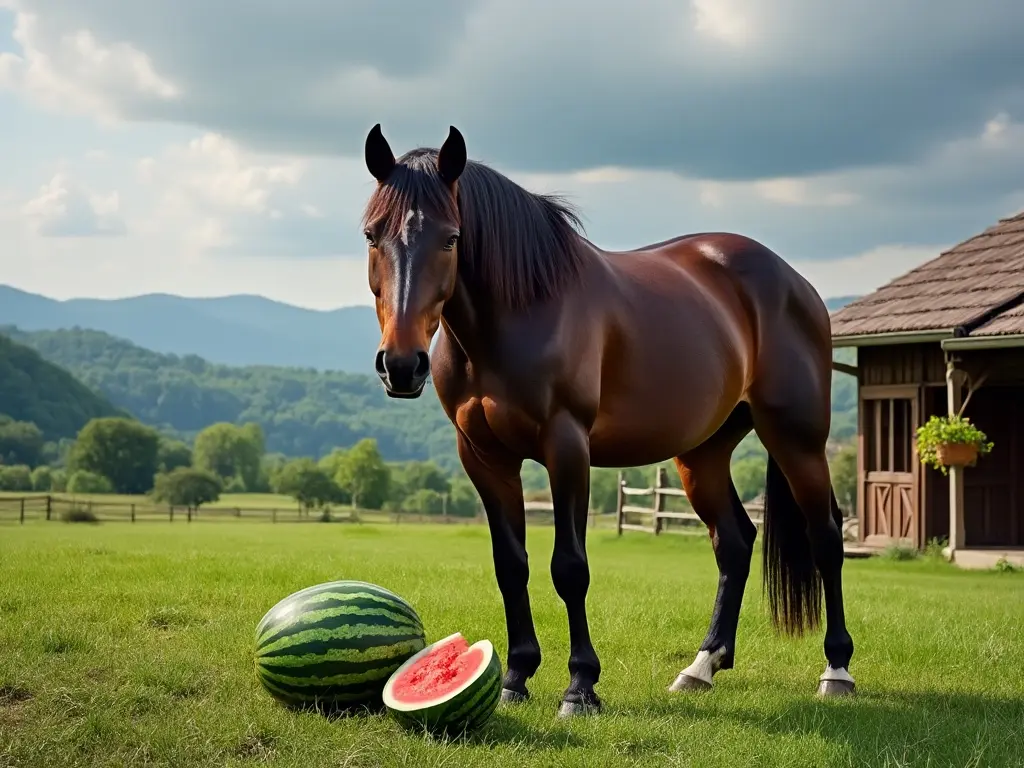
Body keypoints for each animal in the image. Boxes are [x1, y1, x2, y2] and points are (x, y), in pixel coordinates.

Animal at [360, 126, 856, 720]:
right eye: (371, 235)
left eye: (451, 239)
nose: (401, 364)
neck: (520, 311)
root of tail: (796, 283)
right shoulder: (483, 456)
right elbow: (511, 565)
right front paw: (515, 677)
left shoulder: (567, 446)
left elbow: (569, 567)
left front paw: (580, 686)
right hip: (703, 452)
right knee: (734, 542)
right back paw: (701, 666)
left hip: (797, 438)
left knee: (826, 535)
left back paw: (837, 670)